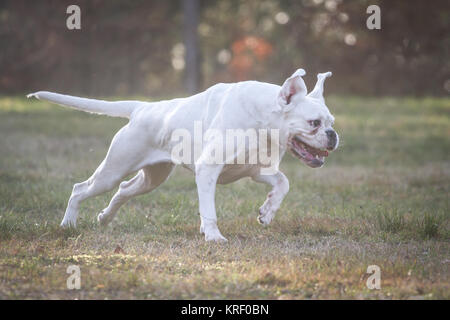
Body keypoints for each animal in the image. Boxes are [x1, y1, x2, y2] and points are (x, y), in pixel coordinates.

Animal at [27, 69, 338, 241]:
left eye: (331, 121)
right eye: (314, 123)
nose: (333, 135)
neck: (261, 117)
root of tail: (142, 108)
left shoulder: (257, 170)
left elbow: (283, 183)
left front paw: (268, 211)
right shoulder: (208, 170)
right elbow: (209, 210)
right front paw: (212, 236)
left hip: (151, 179)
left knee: (123, 190)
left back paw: (104, 218)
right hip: (113, 170)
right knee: (81, 189)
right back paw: (68, 224)